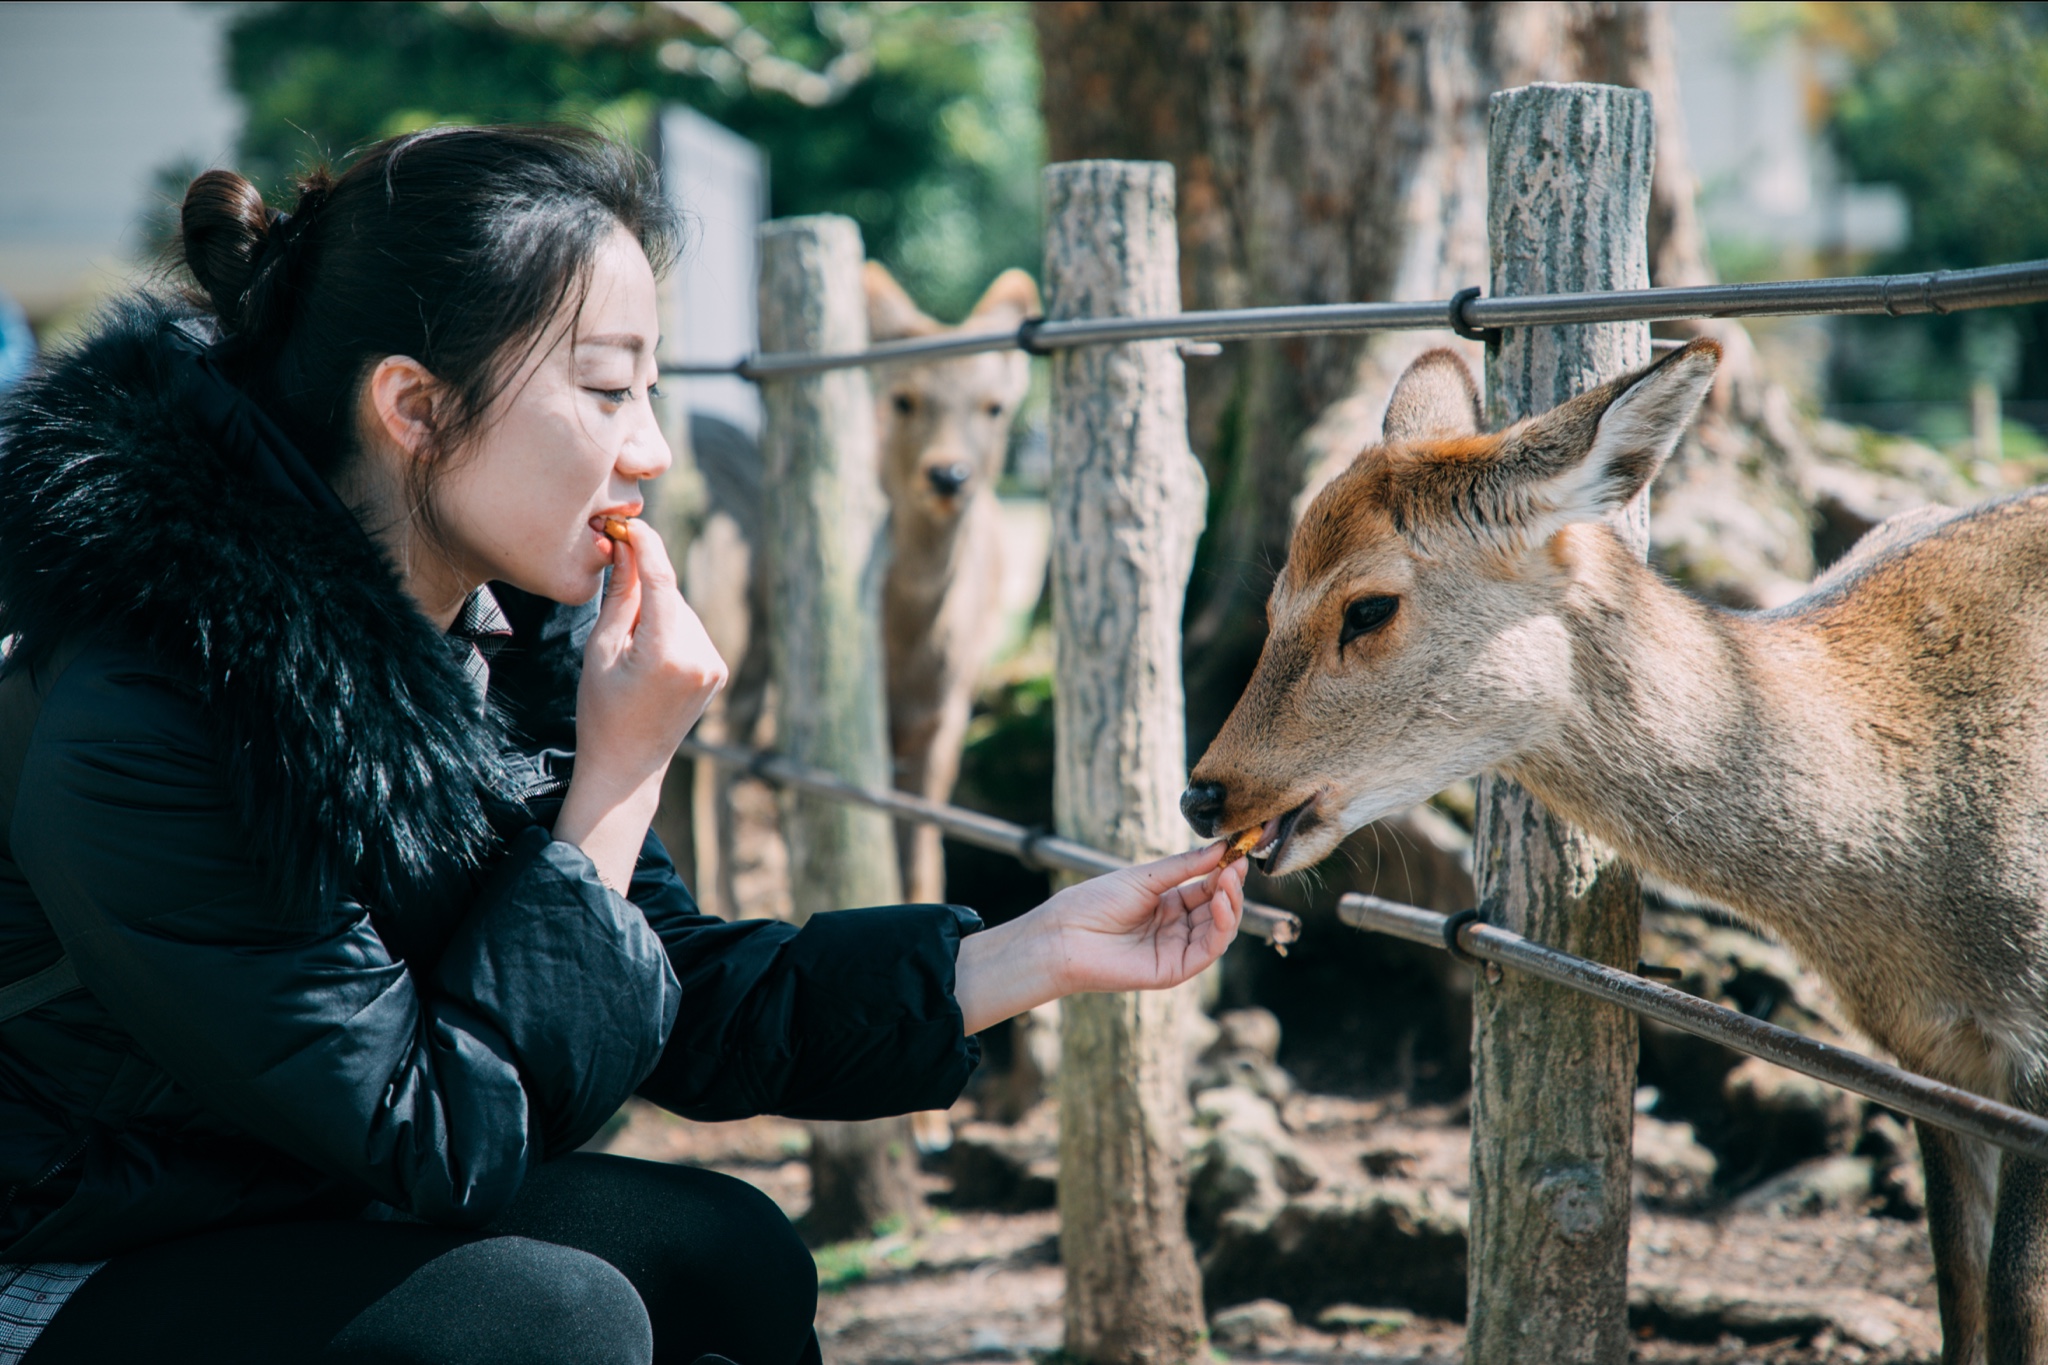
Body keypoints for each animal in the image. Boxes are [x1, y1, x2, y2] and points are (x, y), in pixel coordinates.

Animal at [1179, 339, 2048, 1365]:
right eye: (1273, 599)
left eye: (1368, 607)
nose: (1204, 793)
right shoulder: (1927, 1062)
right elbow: (1961, 1292)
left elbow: (2015, 1297)